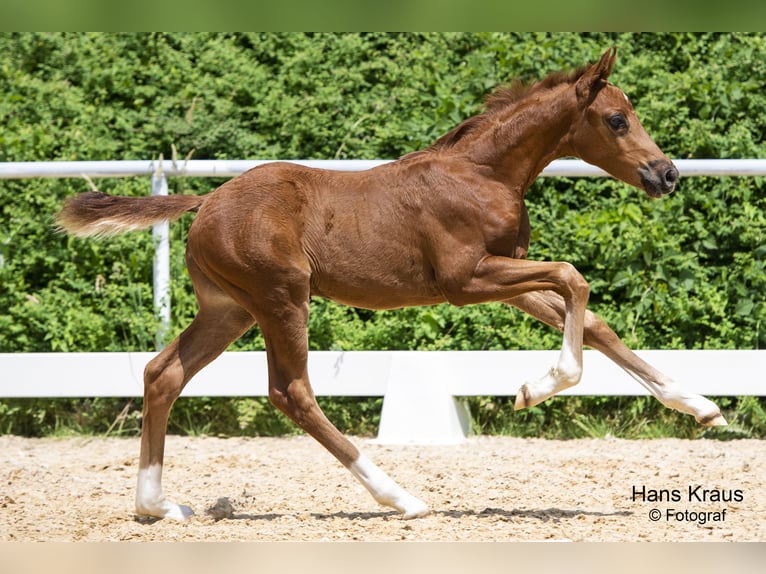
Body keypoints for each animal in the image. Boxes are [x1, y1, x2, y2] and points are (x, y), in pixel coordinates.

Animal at [54, 49, 728, 524]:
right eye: (617, 119)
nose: (666, 175)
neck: (482, 174)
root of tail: (206, 201)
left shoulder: (503, 274)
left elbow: (589, 316)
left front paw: (699, 406)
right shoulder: (465, 279)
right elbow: (573, 278)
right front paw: (536, 389)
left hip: (229, 309)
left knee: (163, 373)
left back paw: (155, 505)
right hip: (281, 299)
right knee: (291, 392)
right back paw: (400, 497)